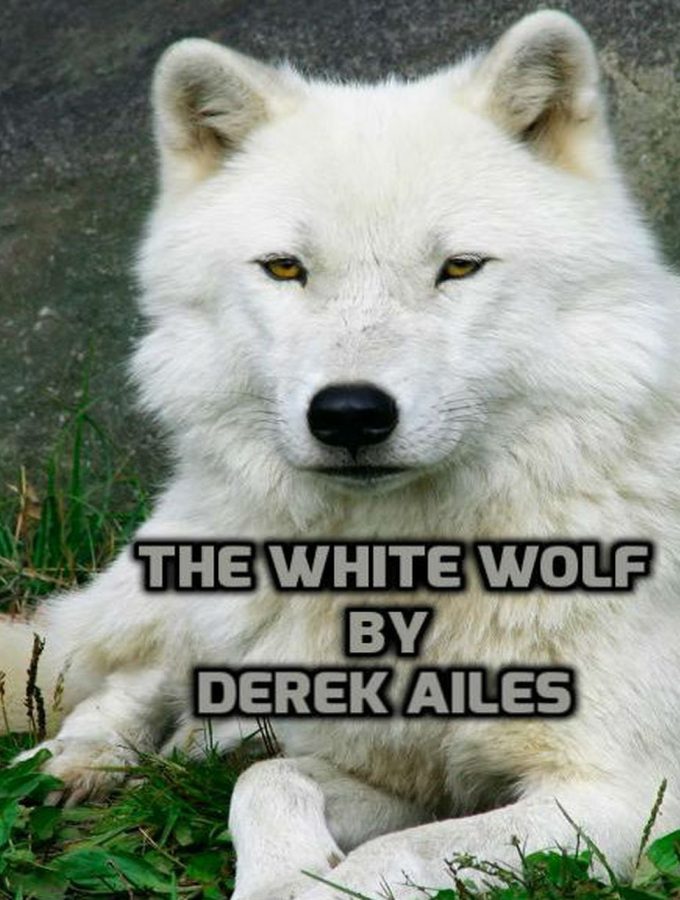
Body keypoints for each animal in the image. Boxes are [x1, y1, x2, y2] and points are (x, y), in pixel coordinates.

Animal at [2, 8, 680, 899]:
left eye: (459, 267)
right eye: (285, 268)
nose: (350, 414)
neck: (400, 577)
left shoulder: (619, 798)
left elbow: (380, 845)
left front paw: (310, 879)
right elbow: (269, 784)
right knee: (122, 680)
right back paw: (71, 763)